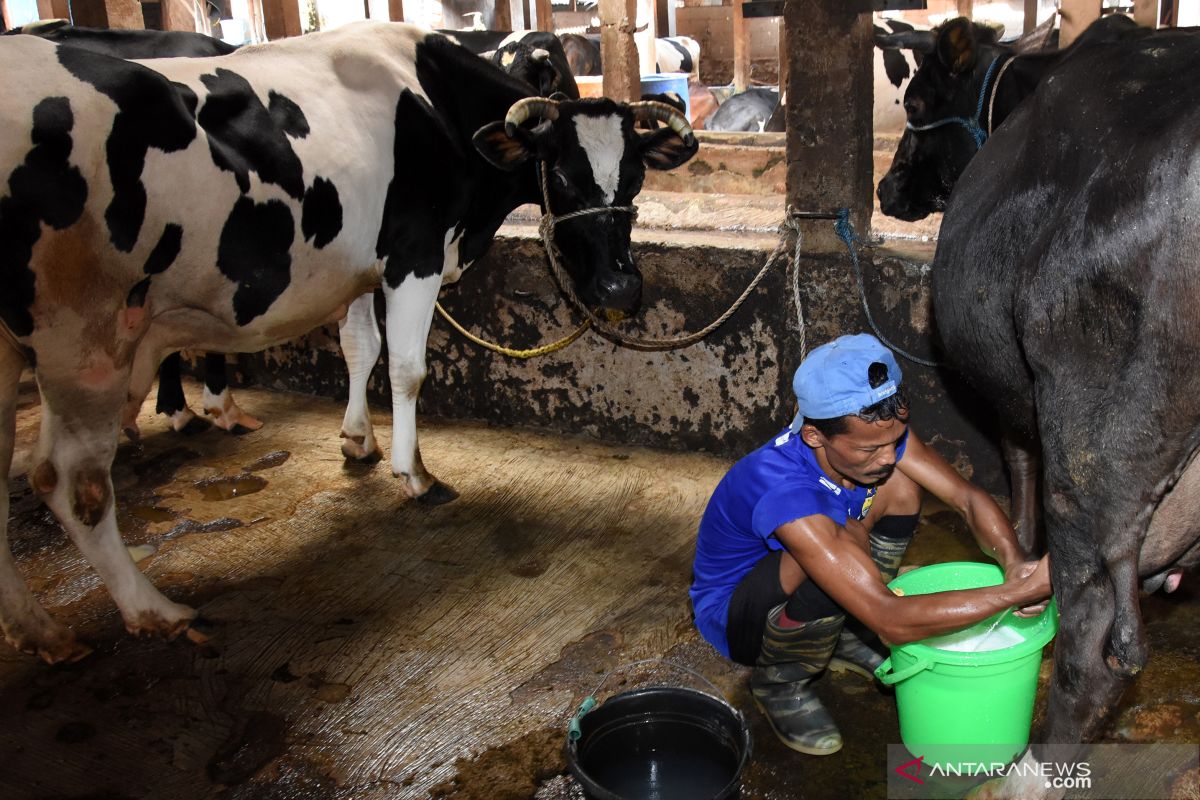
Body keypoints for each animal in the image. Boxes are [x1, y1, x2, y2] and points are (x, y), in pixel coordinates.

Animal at [0, 21, 696, 662]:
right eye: (563, 175)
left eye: (635, 177)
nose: (620, 285)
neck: (438, 105)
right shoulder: (413, 255)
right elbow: (408, 368)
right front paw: (414, 471)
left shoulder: (359, 268)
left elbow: (360, 347)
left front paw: (358, 439)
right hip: (83, 344)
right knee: (69, 481)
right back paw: (154, 608)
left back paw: (40, 629)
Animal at [921, 18, 1195, 796]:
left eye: (918, 96)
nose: (887, 187)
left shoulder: (1017, 394)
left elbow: (1018, 467)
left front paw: (1014, 554)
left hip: (1096, 453)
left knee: (1092, 651)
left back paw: (1031, 772)